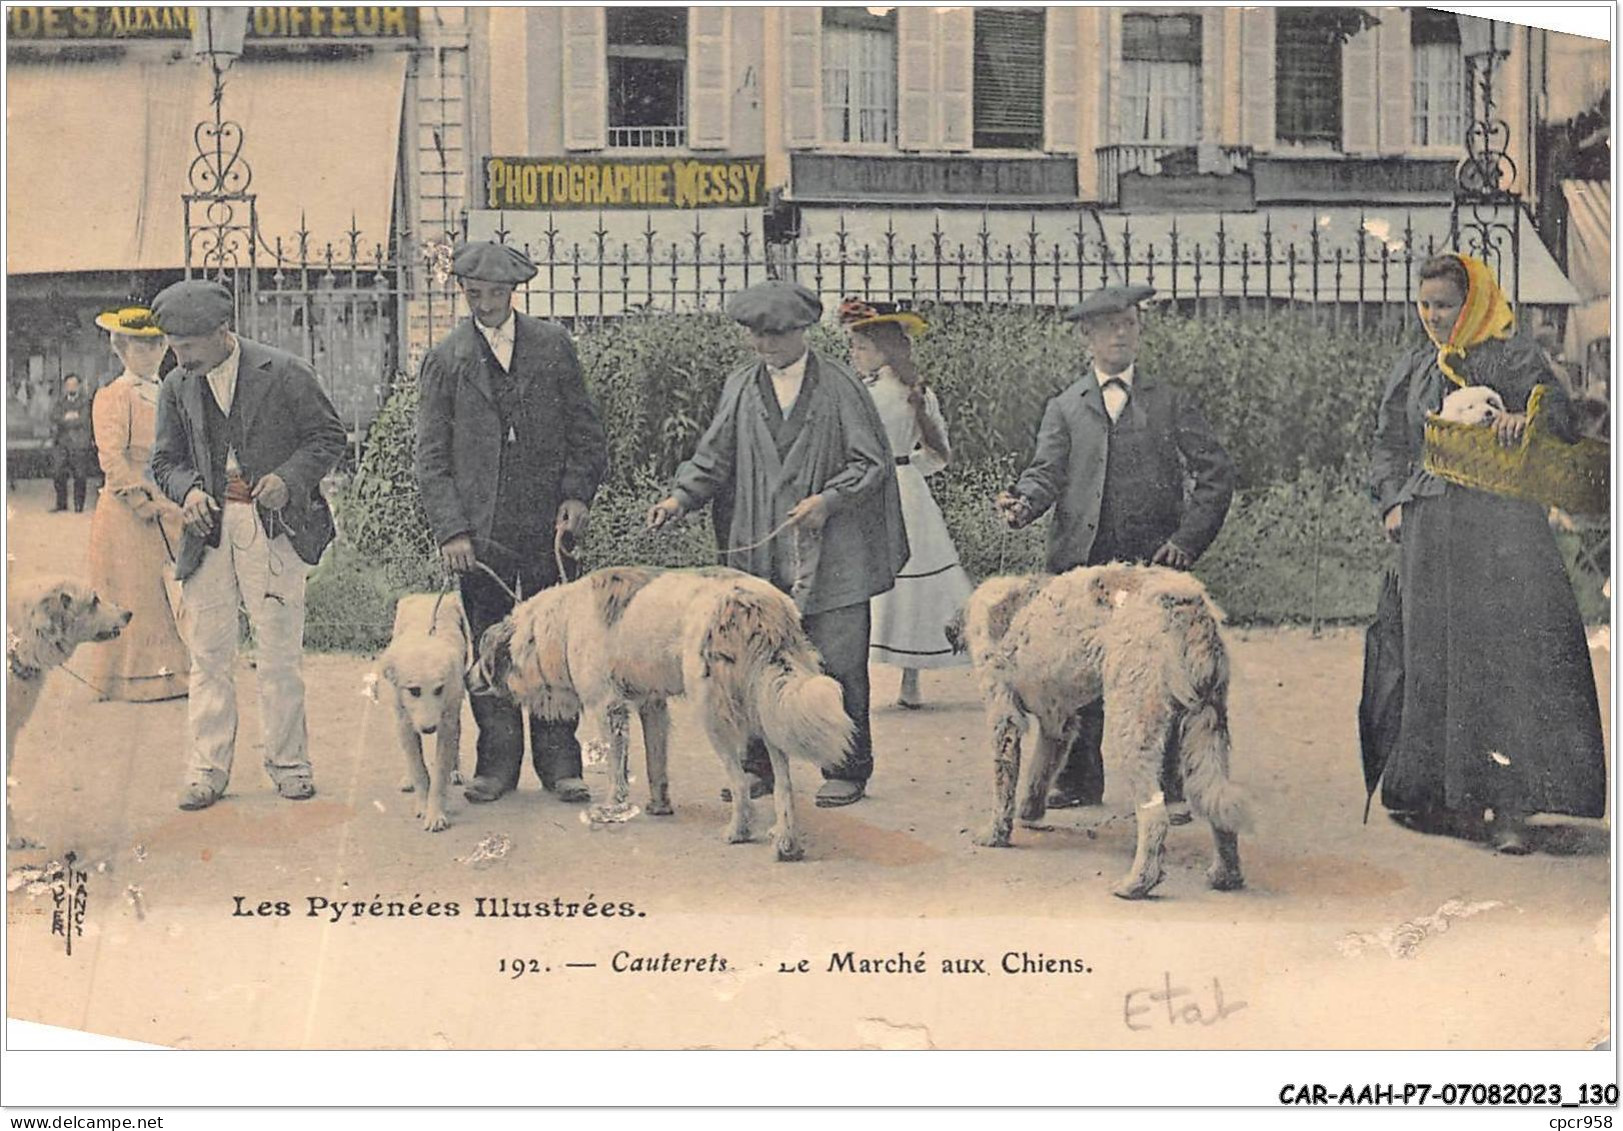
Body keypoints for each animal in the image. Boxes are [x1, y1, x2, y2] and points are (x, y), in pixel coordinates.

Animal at [470, 561, 850, 863]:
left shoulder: (607, 707)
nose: (466, 677)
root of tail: (758, 603)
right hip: (764, 705)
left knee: (740, 780)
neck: (558, 626)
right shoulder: (652, 705)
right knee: (784, 782)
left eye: (481, 656)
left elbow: (616, 770)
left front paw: (613, 808)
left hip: (713, 713)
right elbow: (656, 763)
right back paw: (786, 842)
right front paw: (659, 806)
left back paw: (738, 831)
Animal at [954, 564, 1246, 902]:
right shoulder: (1059, 725)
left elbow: (1004, 786)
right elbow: (1039, 772)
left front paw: (995, 833)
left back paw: (1136, 884)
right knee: (1220, 809)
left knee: (1155, 819)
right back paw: (1225, 875)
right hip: (1206, 729)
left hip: (1132, 727)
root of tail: (1186, 601)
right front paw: (1030, 812)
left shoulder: (1004, 718)